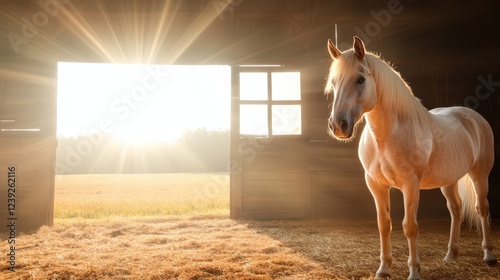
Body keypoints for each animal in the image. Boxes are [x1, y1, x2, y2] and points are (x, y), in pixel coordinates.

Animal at [324, 36, 496, 278]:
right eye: (334, 82)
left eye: (360, 79)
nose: (338, 126)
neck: (387, 136)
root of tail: (474, 117)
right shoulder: (376, 185)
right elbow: (384, 224)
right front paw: (383, 269)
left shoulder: (410, 185)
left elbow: (410, 227)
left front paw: (414, 271)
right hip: (448, 180)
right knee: (456, 209)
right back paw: (451, 254)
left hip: (479, 175)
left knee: (482, 209)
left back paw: (488, 256)